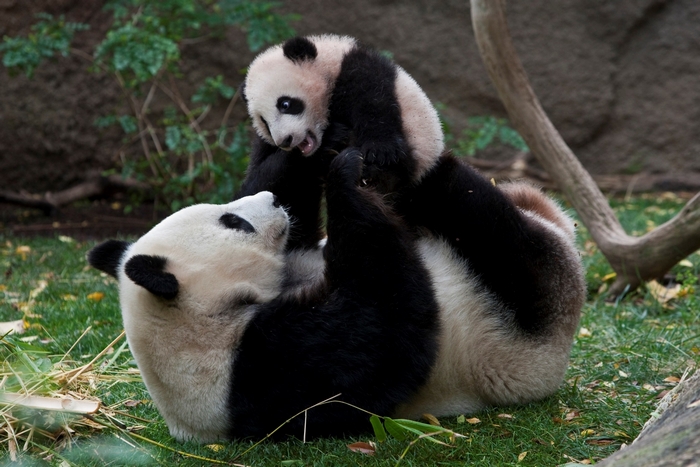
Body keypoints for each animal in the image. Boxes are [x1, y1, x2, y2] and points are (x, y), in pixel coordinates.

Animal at [242, 34, 444, 195]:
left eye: (285, 104)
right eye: (264, 123)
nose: (285, 141)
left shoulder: (358, 69)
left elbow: (374, 102)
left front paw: (380, 151)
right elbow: (255, 186)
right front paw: (333, 137)